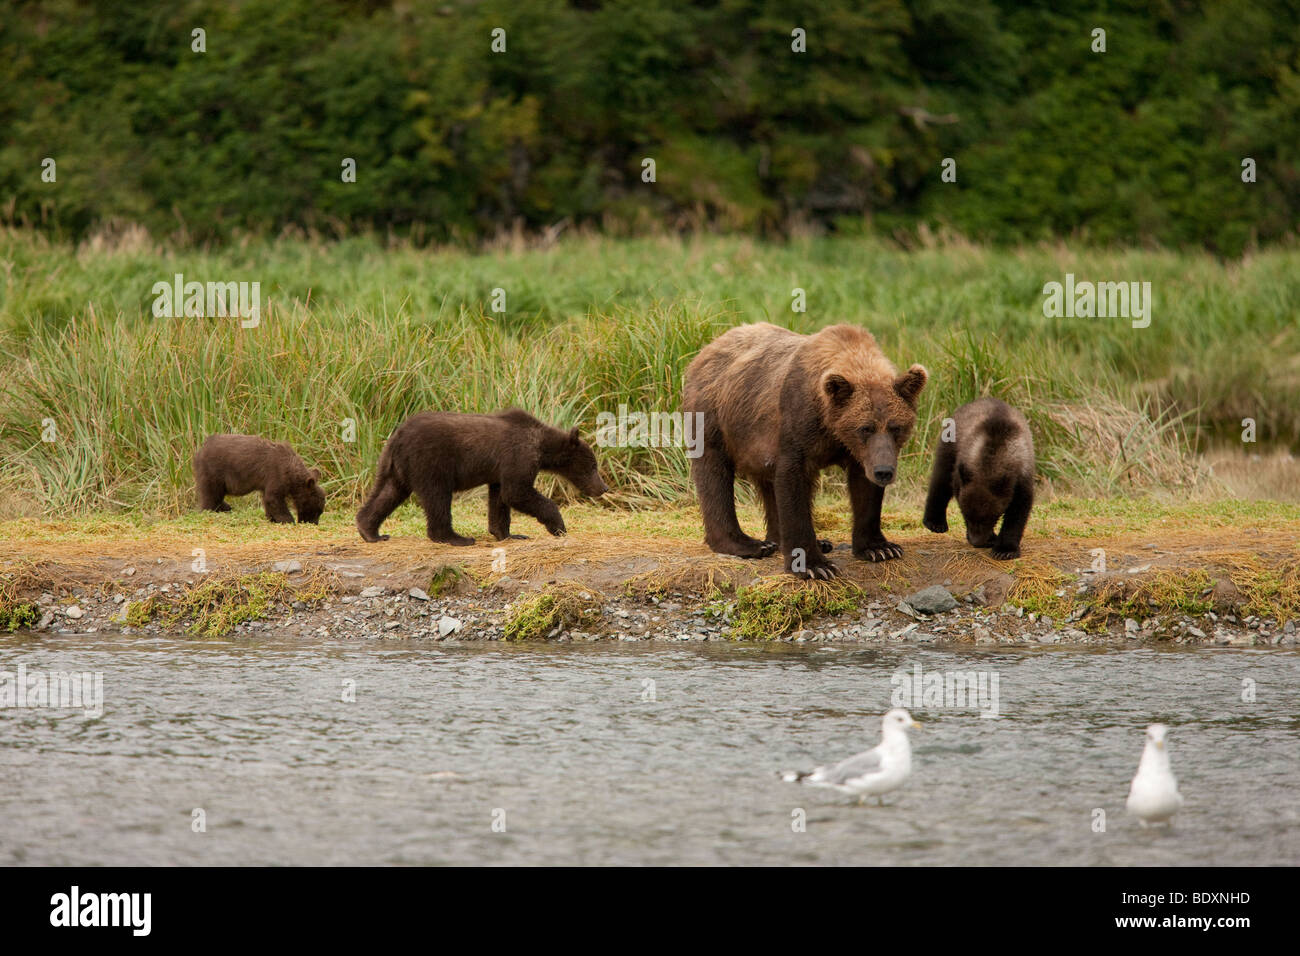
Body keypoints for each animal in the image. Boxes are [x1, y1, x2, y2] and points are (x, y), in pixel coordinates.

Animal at [356, 408, 608, 546]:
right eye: (592, 466)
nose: (603, 487)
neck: (542, 447)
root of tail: (398, 434)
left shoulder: (499, 471)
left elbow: (500, 499)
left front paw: (509, 534)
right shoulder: (518, 457)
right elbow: (517, 492)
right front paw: (557, 526)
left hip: (396, 467)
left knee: (388, 492)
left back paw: (370, 531)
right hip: (431, 462)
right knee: (438, 497)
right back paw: (456, 538)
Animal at [681, 321, 925, 580]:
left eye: (896, 427)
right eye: (865, 428)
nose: (884, 472)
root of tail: (706, 349)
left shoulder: (861, 453)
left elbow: (864, 488)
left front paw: (880, 548)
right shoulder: (798, 424)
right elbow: (793, 481)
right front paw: (814, 565)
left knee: (767, 482)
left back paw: (803, 542)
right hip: (717, 415)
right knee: (714, 474)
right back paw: (749, 544)